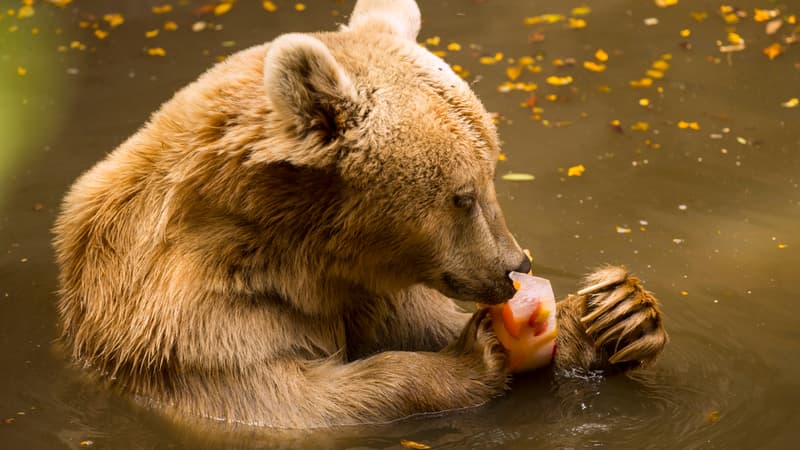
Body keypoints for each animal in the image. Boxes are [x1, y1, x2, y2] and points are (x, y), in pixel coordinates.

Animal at [53, 0, 664, 428]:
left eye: (492, 170)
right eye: (462, 195)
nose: (515, 265)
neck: (296, 257)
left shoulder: (367, 289)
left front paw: (618, 312)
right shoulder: (193, 324)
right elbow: (295, 399)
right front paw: (479, 352)